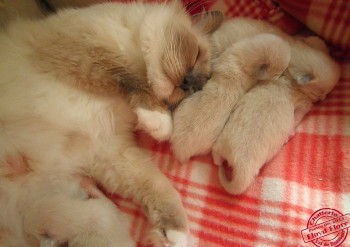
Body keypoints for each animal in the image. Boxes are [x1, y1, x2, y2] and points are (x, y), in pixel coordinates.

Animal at [0, 0, 223, 246]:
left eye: (193, 90)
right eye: (196, 56)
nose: (185, 83)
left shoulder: (108, 149)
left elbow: (160, 186)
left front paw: (175, 234)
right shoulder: (83, 49)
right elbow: (128, 76)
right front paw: (160, 121)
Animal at [212, 36, 340, 195]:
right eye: (320, 92)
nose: (323, 98)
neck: (289, 74)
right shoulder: (303, 104)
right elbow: (298, 115)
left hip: (219, 145)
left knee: (216, 159)